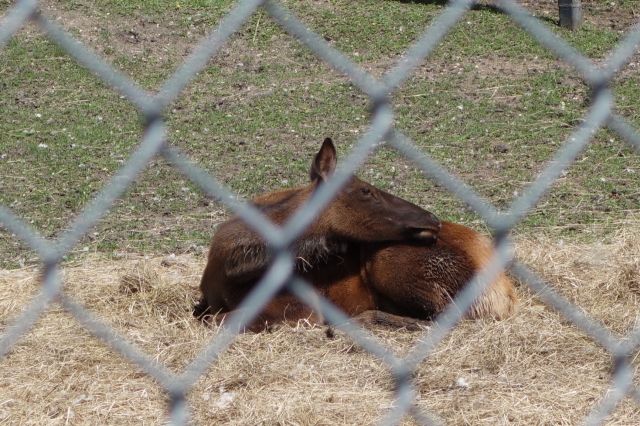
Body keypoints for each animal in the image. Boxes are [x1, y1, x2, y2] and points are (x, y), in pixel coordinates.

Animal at [194, 138, 516, 332]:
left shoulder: (302, 308)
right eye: (366, 191)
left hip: (386, 259)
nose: (431, 219)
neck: (228, 267)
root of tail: (505, 292)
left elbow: (217, 320)